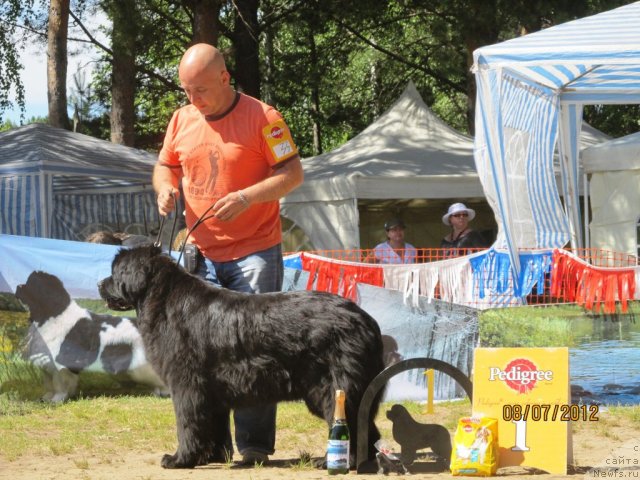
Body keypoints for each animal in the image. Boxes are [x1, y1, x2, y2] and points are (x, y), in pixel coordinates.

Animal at [15, 270, 168, 402]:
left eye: (30, 284)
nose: (18, 286)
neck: (51, 315)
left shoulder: (60, 363)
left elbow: (59, 383)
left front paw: (57, 399)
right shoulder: (46, 363)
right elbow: (49, 383)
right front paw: (47, 398)